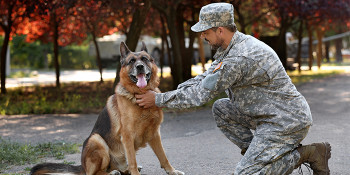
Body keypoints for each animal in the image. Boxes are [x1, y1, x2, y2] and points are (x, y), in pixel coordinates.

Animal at [30, 42, 183, 175]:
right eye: (131, 61)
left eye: (145, 59)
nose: (140, 67)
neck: (139, 94)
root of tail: (82, 166)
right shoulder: (127, 136)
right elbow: (133, 161)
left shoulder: (155, 134)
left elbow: (163, 157)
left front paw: (172, 171)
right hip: (97, 140)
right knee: (94, 173)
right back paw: (112, 172)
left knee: (121, 168)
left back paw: (121, 170)